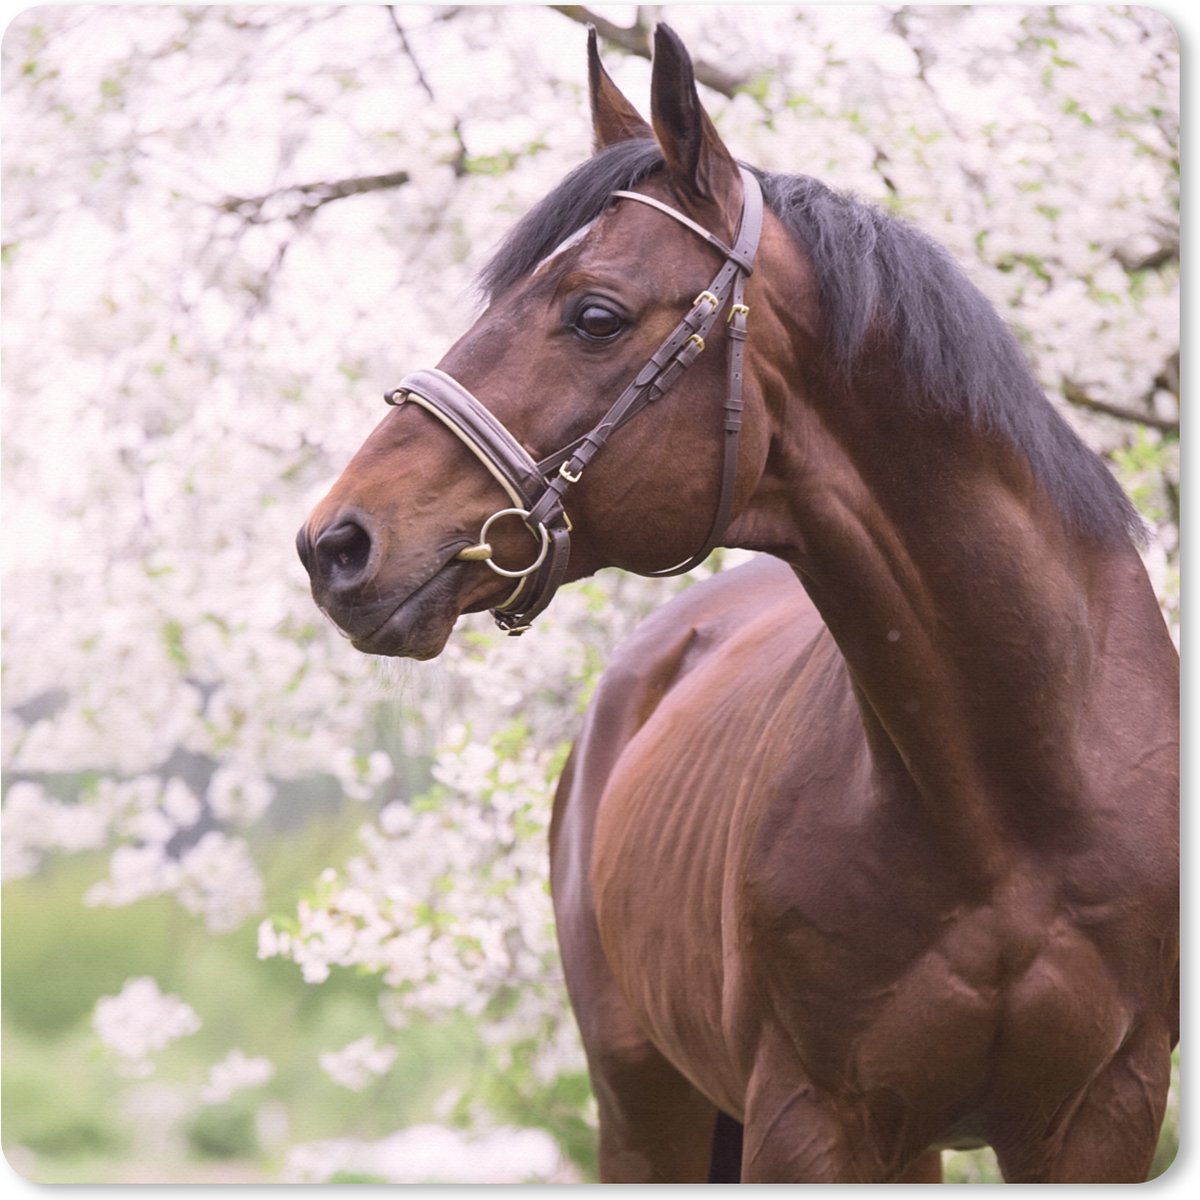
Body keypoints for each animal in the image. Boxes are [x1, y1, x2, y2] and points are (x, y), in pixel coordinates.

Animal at [296, 26, 1179, 1183]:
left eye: (594, 315)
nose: (336, 544)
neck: (1022, 790)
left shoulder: (1104, 1113)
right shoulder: (811, 1120)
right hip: (646, 1109)